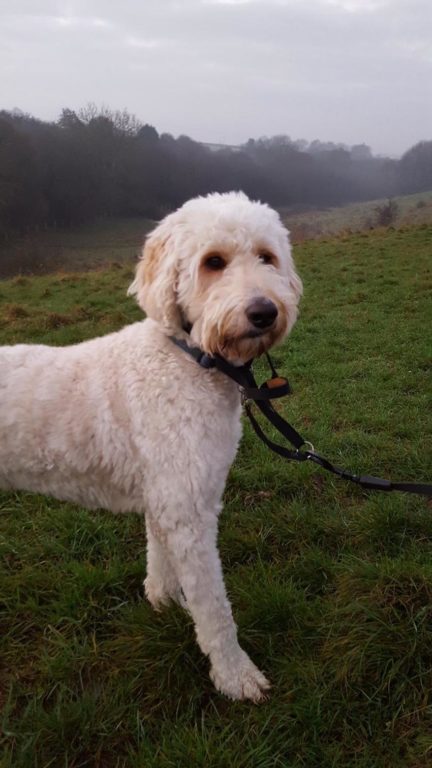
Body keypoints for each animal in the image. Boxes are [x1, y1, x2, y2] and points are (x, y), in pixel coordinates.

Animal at [0, 192, 300, 704]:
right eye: (213, 262)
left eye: (267, 257)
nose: (264, 312)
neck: (188, 358)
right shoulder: (188, 509)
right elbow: (214, 608)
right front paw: (235, 676)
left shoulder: (165, 496)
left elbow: (158, 555)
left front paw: (163, 598)